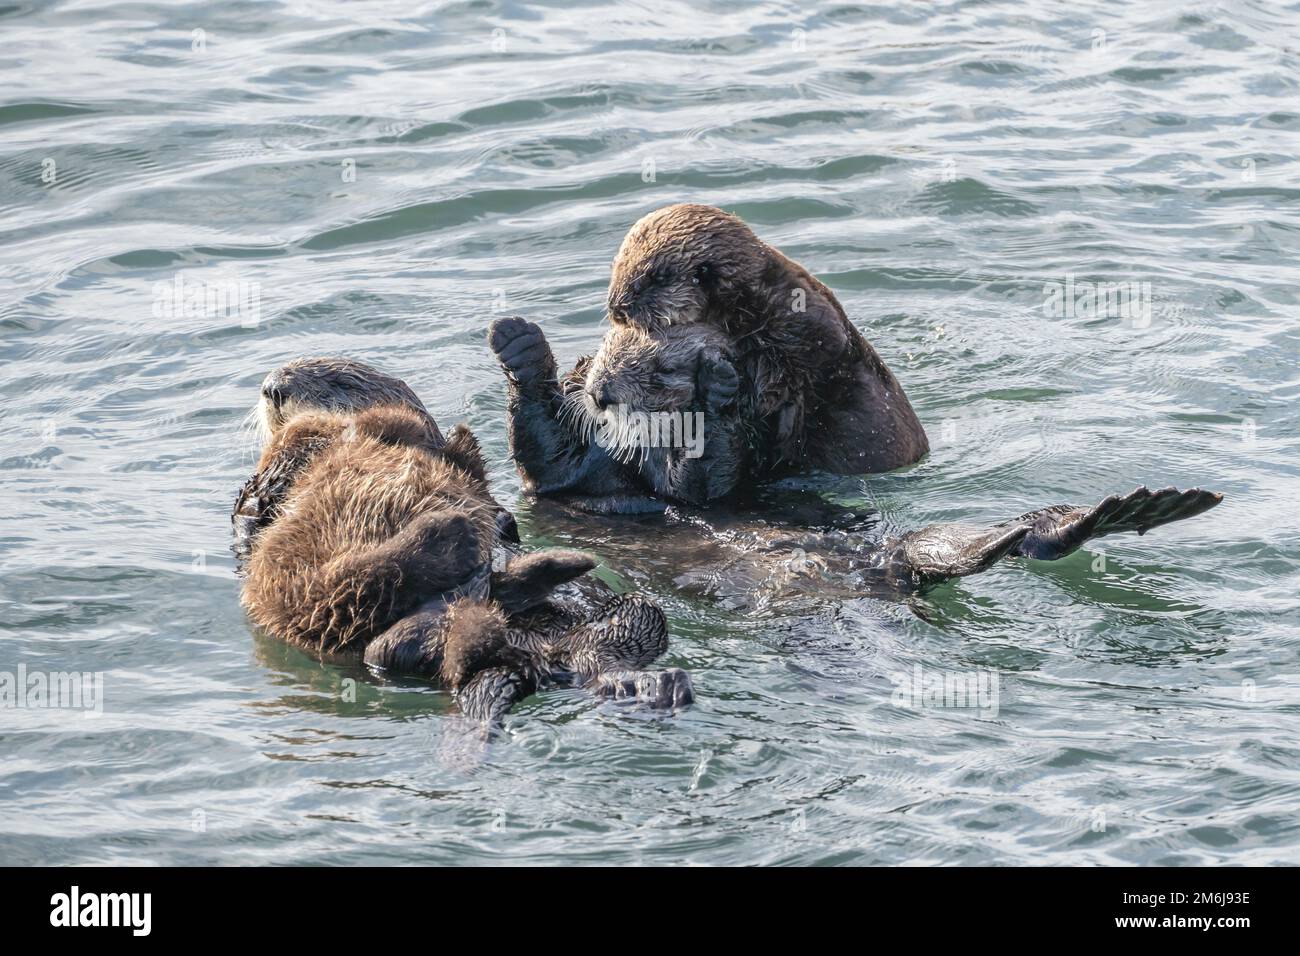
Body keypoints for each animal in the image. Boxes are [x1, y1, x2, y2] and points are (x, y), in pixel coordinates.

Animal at [233, 358, 702, 723]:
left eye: (339, 382)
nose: (273, 389)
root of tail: (537, 663)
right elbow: (261, 495)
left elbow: (428, 441)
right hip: (296, 592)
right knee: (377, 627)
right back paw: (464, 547)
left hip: (629, 616)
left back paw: (651, 683)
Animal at [486, 321, 1216, 590]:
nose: (609, 390)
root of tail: (886, 575)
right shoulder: (568, 478)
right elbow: (548, 454)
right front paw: (520, 347)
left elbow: (709, 480)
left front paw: (718, 390)